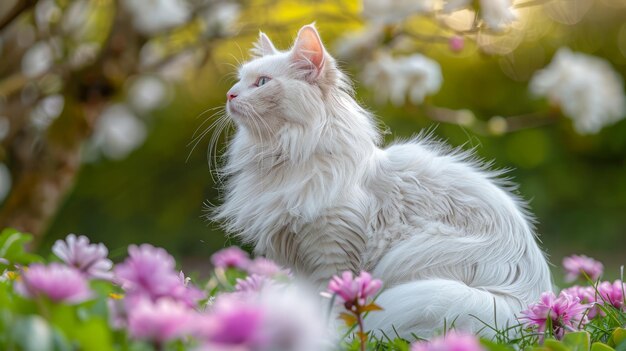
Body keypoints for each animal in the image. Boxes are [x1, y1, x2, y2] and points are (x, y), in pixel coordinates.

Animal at [214, 24, 552, 338]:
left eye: (262, 82)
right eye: (238, 81)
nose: (230, 94)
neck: (281, 158)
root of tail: (523, 310)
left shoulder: (332, 250)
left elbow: (333, 306)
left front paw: (332, 337)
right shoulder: (298, 260)